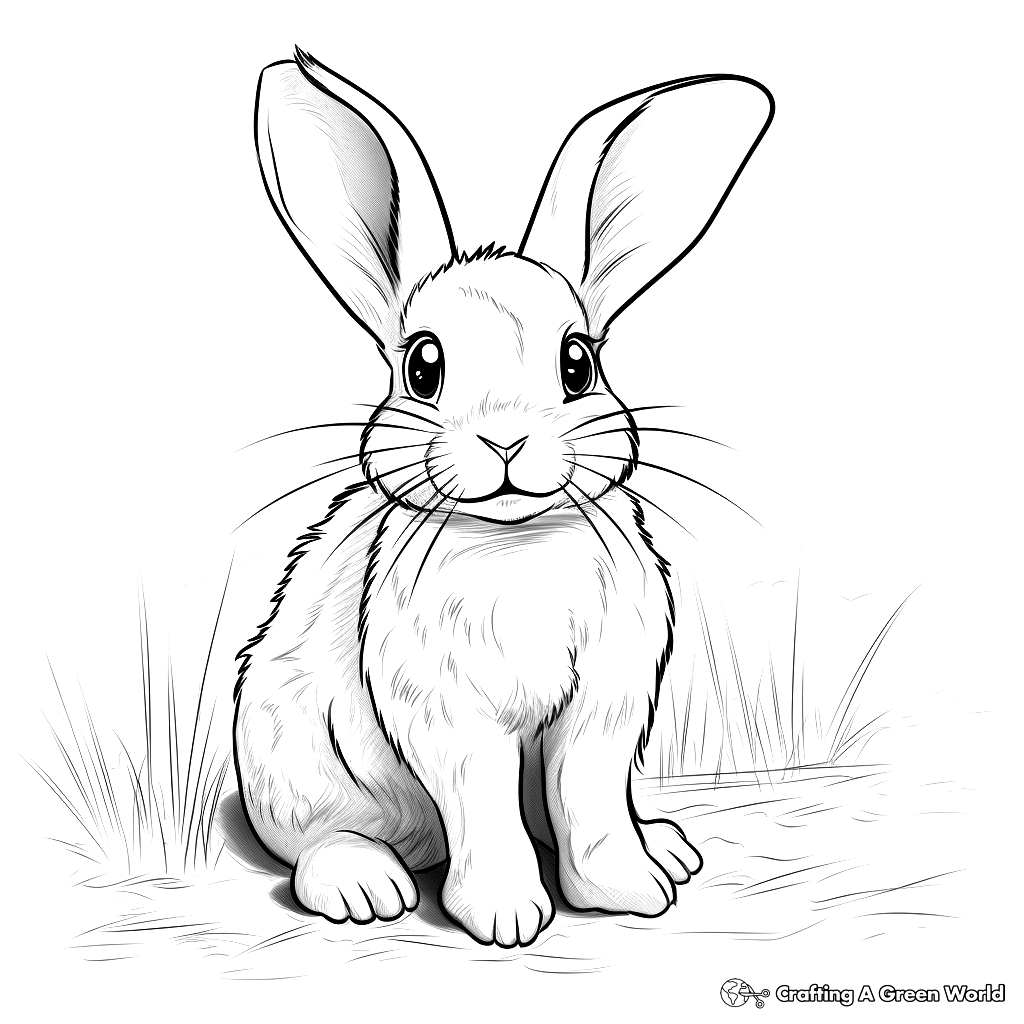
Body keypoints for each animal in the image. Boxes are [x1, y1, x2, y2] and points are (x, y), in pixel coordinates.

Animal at [234, 48, 773, 948]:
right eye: (423, 365)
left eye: (578, 363)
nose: (507, 441)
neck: (516, 542)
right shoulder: (447, 713)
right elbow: (482, 803)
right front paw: (507, 917)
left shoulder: (607, 702)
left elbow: (590, 799)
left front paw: (626, 889)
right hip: (290, 758)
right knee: (316, 841)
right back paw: (365, 887)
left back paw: (666, 847)